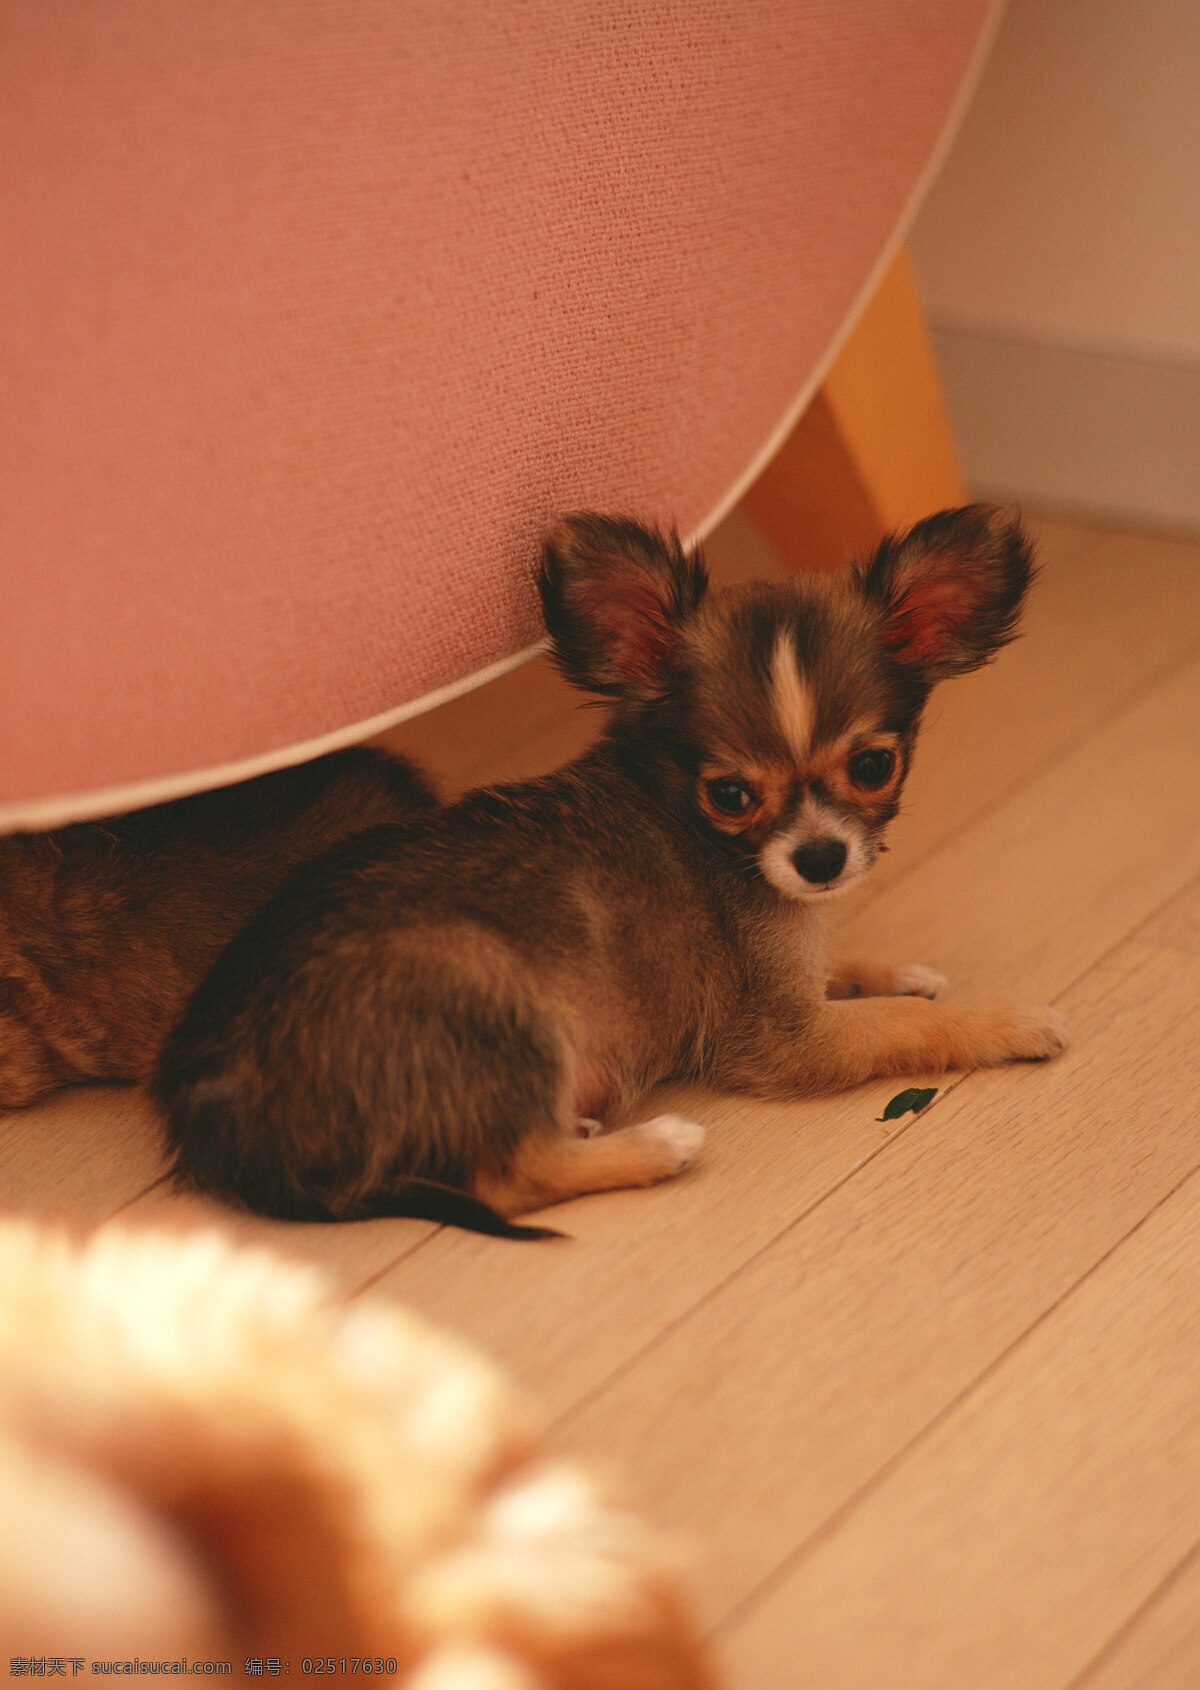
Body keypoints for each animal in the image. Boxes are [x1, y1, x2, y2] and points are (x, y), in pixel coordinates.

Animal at [155, 500, 1068, 1230]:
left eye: (874, 767)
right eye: (731, 794)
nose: (819, 857)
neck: (686, 814)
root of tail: (213, 1121)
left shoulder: (786, 971)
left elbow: (852, 972)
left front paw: (899, 972)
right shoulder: (782, 1037)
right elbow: (905, 1027)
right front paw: (1008, 1022)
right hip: (485, 988)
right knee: (510, 1179)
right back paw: (659, 1145)